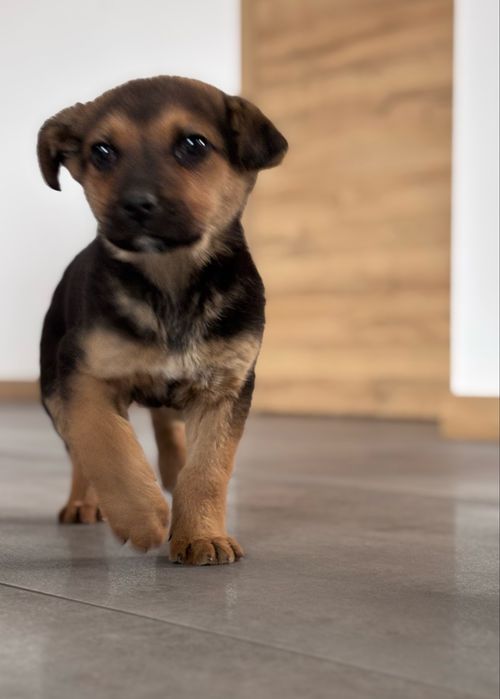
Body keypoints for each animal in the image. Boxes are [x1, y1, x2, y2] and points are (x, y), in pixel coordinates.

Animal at [37, 76, 287, 565]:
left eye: (193, 144)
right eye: (102, 152)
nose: (137, 205)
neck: (171, 281)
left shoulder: (225, 387)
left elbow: (208, 468)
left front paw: (202, 535)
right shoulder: (83, 376)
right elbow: (107, 445)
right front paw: (141, 516)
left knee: (168, 426)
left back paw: (171, 470)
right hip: (53, 391)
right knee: (81, 451)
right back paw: (83, 502)